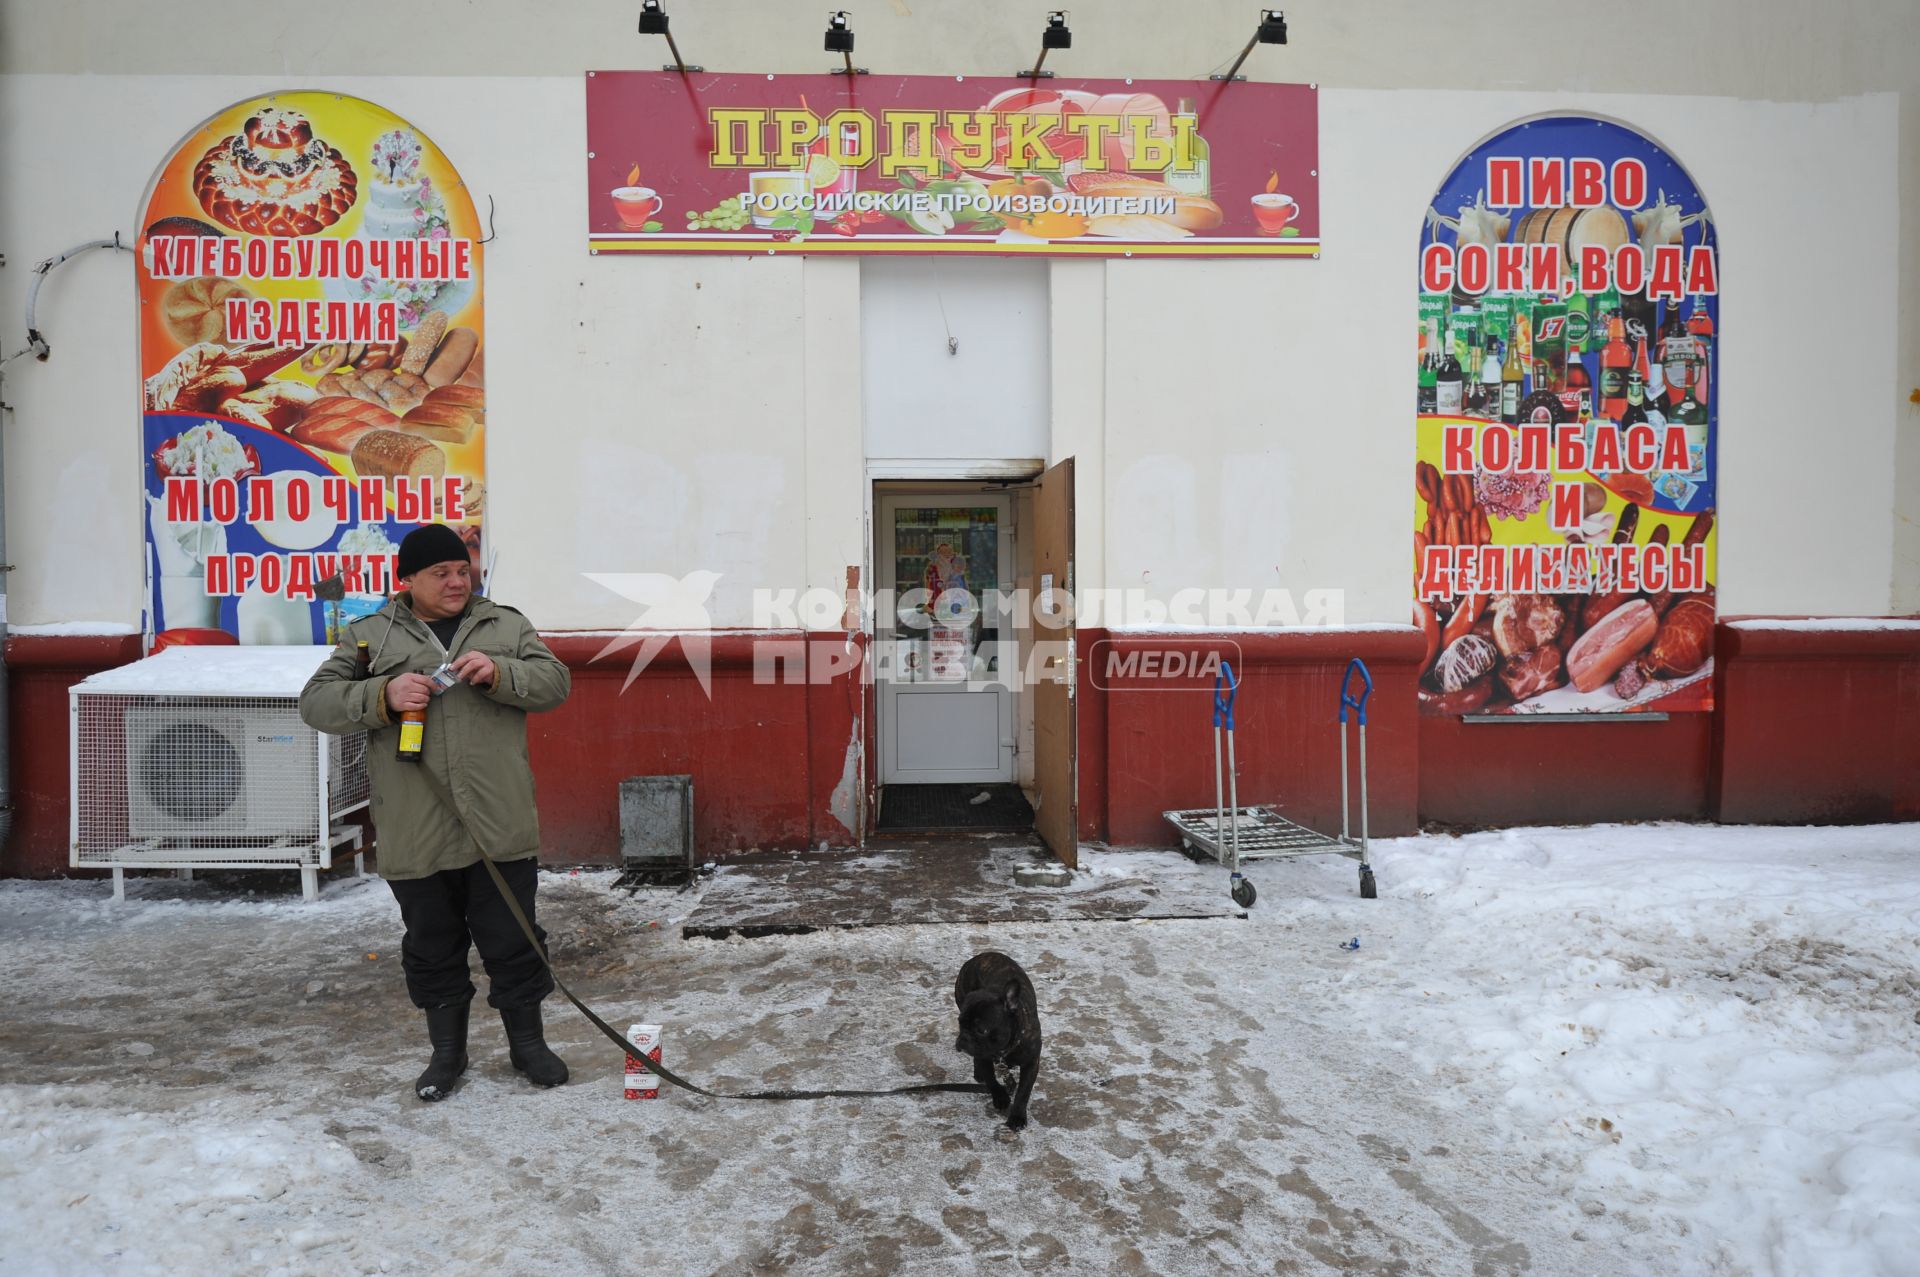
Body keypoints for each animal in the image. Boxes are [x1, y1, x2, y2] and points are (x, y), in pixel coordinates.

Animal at [952, 944, 1044, 1129]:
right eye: (960, 1023)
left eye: (981, 1030)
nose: (963, 1039)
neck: (1004, 1050)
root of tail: (980, 956)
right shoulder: (984, 1056)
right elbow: (991, 1080)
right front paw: (1001, 1097)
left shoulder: (1031, 1063)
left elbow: (1023, 1092)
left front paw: (1017, 1117)